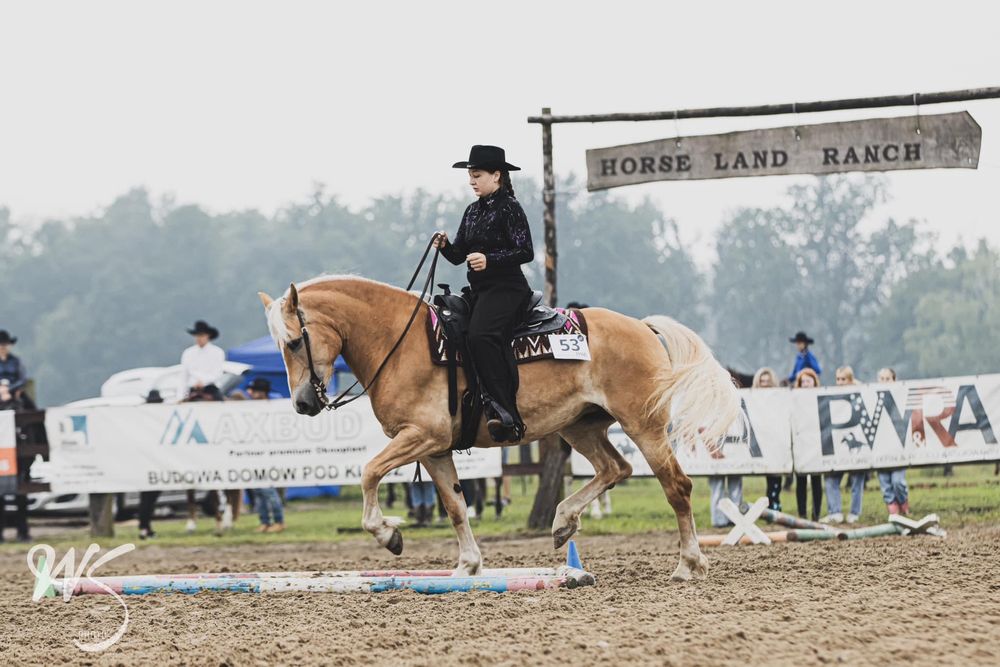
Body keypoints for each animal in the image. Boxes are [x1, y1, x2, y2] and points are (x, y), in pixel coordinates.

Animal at [256, 274, 744, 580]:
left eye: (295, 341)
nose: (302, 403)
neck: (398, 341)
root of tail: (643, 328)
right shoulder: (434, 449)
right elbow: (455, 505)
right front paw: (467, 567)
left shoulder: (421, 436)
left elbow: (369, 472)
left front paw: (389, 534)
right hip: (581, 426)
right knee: (615, 469)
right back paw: (562, 523)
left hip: (643, 426)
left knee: (676, 486)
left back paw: (689, 564)